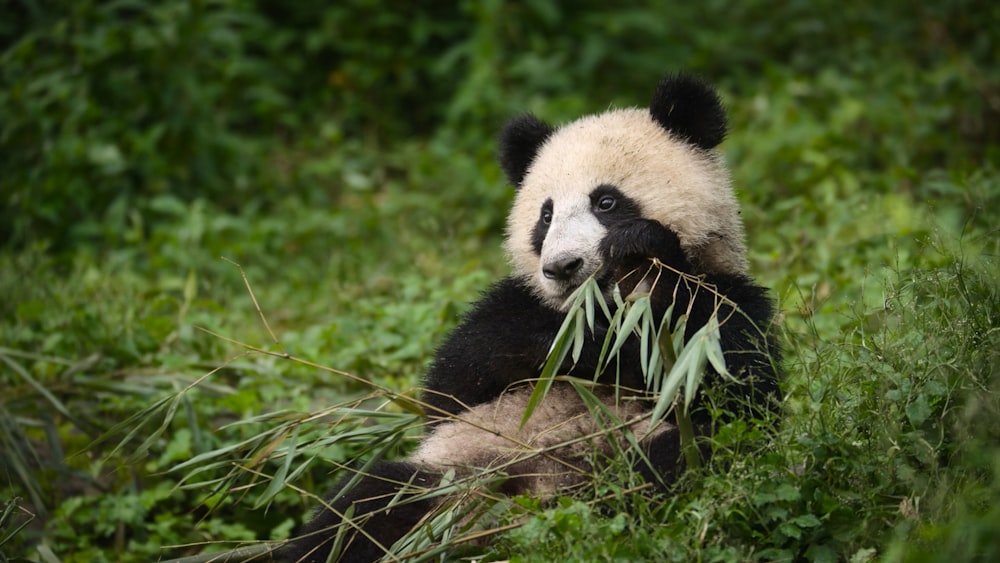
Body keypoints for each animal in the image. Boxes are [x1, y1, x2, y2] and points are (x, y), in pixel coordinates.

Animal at [280, 75, 780, 563]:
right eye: (546, 214)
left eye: (606, 202)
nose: (563, 267)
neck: (602, 304)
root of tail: (527, 507)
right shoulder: (515, 304)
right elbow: (452, 386)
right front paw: (578, 345)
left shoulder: (729, 299)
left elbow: (738, 389)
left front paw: (643, 254)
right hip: (462, 466)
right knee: (365, 508)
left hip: (627, 446)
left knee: (680, 459)